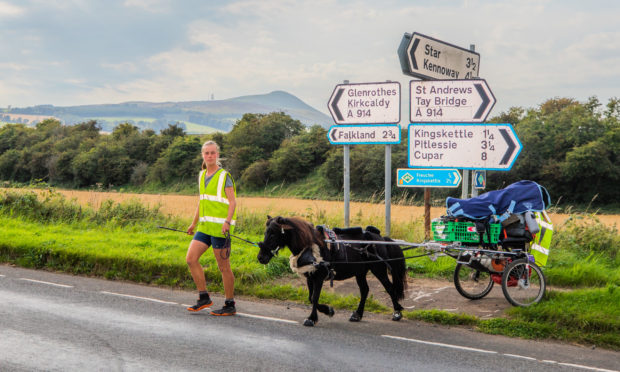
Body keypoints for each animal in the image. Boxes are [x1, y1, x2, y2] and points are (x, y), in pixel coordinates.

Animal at [256, 217, 406, 326]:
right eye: (265, 233)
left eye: (273, 234)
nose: (260, 257)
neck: (311, 245)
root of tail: (381, 239)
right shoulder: (310, 277)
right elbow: (311, 298)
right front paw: (328, 310)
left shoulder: (319, 277)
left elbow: (315, 297)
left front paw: (312, 318)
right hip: (360, 272)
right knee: (365, 290)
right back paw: (357, 315)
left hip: (378, 269)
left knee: (389, 288)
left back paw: (397, 313)